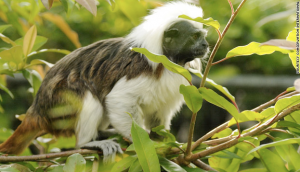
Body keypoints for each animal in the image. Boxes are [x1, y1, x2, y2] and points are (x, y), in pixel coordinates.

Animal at [0, 1, 209, 163]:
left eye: (203, 36)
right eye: (195, 36)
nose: (206, 45)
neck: (168, 61)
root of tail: (37, 109)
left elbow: (159, 114)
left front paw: (162, 141)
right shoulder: (140, 71)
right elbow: (119, 99)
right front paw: (143, 142)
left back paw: (104, 132)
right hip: (57, 107)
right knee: (85, 95)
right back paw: (88, 142)